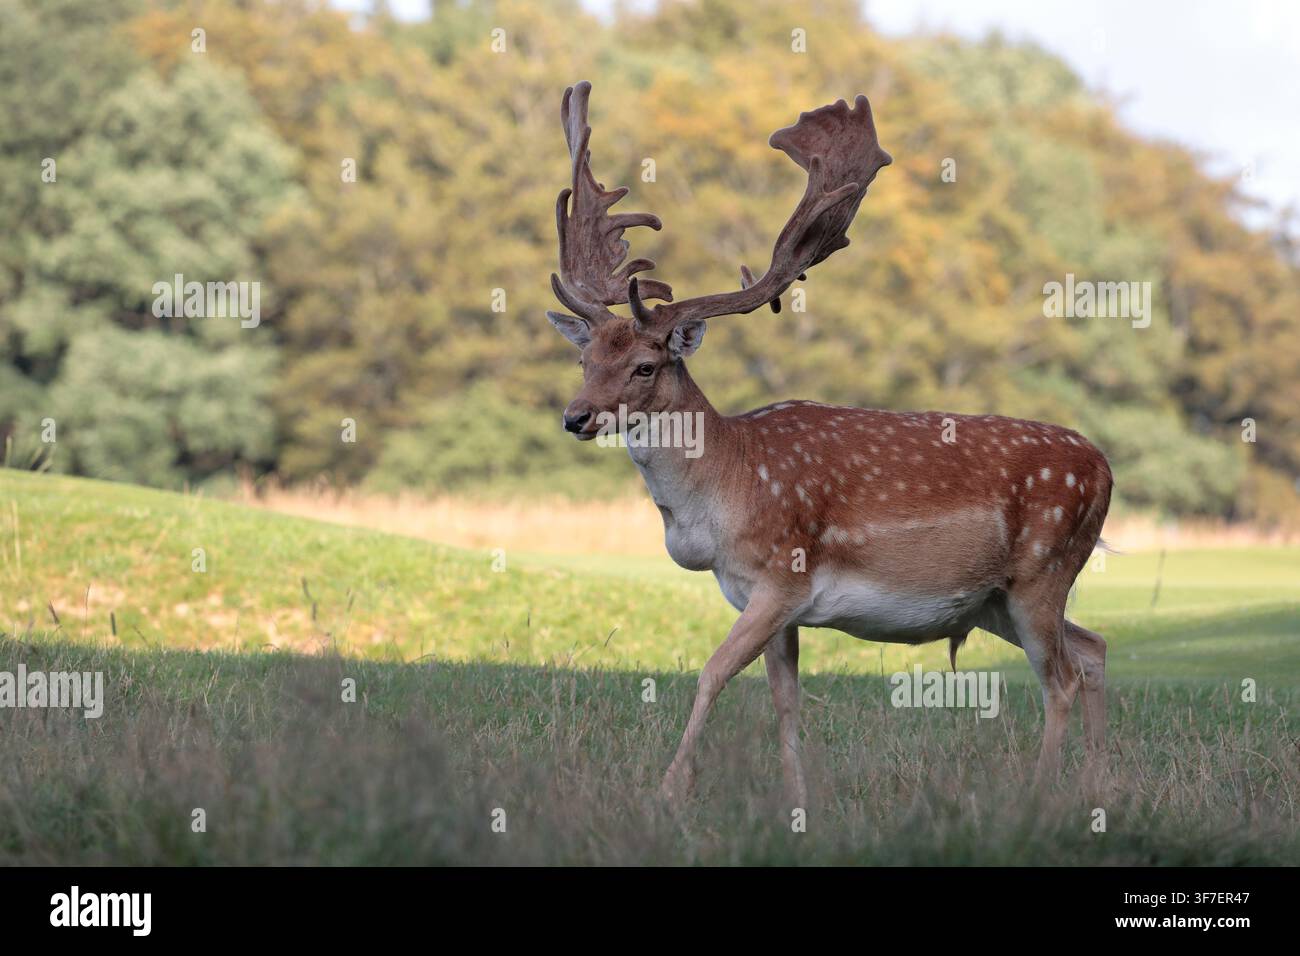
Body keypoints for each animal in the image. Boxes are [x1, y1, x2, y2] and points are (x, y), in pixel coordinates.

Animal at [546, 81, 1112, 805]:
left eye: (645, 365)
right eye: (584, 360)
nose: (576, 416)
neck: (724, 492)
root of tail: (1104, 467)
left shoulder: (782, 576)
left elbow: (711, 673)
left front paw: (669, 791)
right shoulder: (770, 604)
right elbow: (785, 701)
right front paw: (797, 801)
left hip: (1043, 567)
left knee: (1061, 678)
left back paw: (1038, 798)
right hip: (996, 600)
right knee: (1093, 649)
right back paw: (1097, 790)